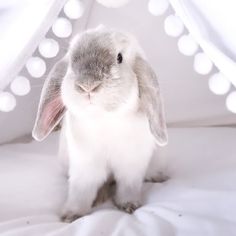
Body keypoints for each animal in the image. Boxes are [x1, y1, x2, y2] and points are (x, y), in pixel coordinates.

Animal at [31, 26, 168, 222]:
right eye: (71, 61)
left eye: (119, 57)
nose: (87, 85)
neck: (104, 118)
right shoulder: (85, 165)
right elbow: (81, 191)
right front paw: (71, 215)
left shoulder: (132, 164)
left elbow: (128, 186)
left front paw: (128, 205)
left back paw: (158, 177)